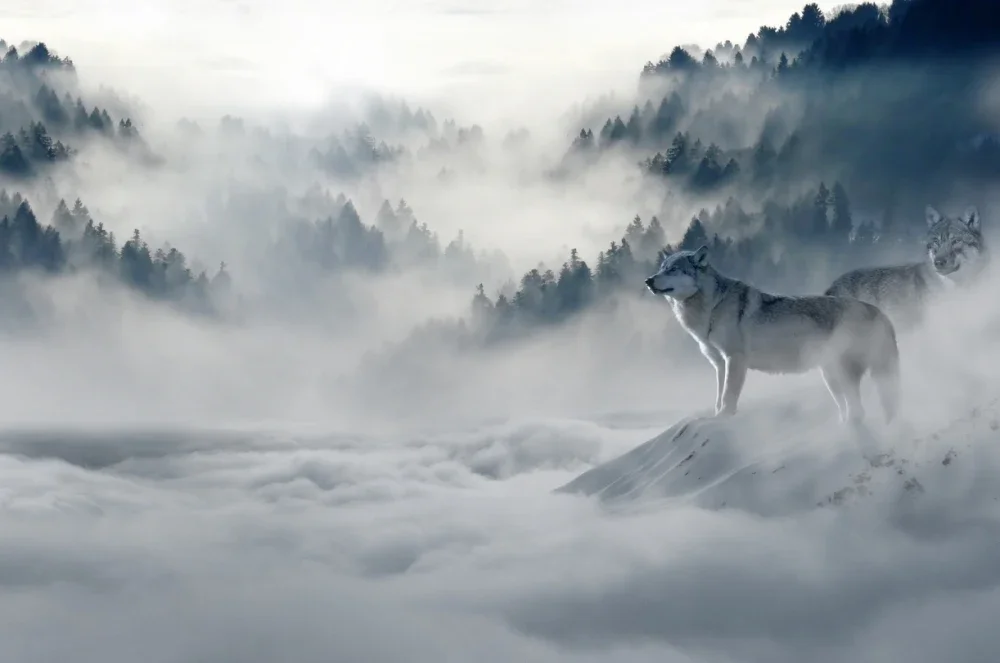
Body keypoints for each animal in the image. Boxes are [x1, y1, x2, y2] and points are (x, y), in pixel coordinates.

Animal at [645, 246, 901, 424]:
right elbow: (718, 397)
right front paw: (715, 416)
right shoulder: (719, 364)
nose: (648, 280)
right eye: (661, 268)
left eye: (673, 269)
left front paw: (723, 418)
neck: (711, 307)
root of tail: (879, 312)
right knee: (852, 409)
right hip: (831, 377)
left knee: (860, 410)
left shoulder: (735, 359)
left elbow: (728, 396)